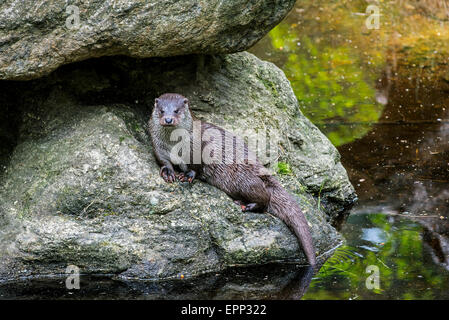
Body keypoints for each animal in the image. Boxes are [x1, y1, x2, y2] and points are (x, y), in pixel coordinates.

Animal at [147, 92, 316, 264]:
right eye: (161, 111)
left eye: (176, 111)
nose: (168, 119)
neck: (175, 146)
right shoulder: (158, 146)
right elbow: (163, 161)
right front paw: (168, 172)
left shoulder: (199, 148)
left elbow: (197, 166)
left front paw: (188, 174)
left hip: (244, 179)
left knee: (265, 198)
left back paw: (247, 205)